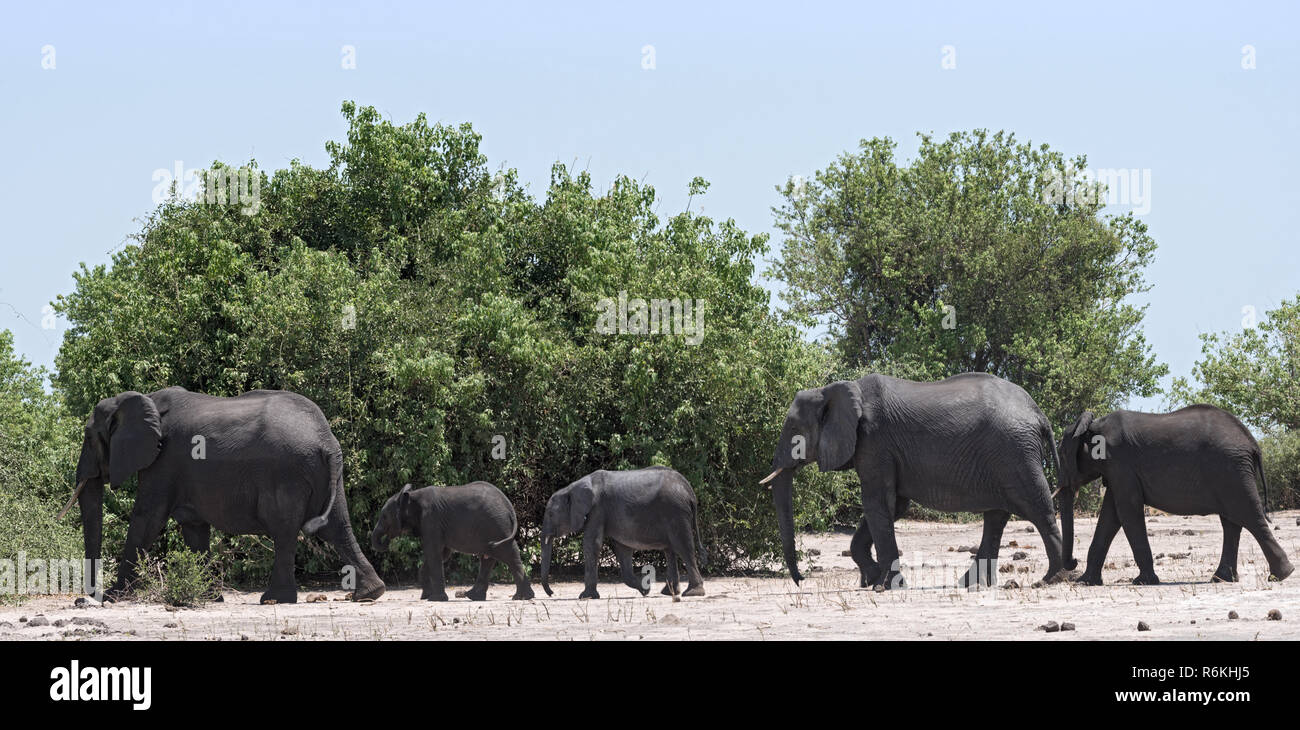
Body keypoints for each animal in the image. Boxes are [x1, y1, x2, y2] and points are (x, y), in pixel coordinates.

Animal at [58, 387, 382, 602]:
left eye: (88, 437)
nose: (83, 599)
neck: (140, 399)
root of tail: (324, 438)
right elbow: (193, 528)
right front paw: (209, 597)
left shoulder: (164, 460)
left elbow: (147, 519)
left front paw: (113, 597)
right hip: (324, 472)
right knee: (336, 526)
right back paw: (369, 594)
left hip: (286, 472)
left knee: (285, 529)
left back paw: (274, 599)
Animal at [366, 480, 533, 600]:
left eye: (384, 517)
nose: (387, 541)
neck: (411, 496)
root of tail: (508, 505)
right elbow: (442, 554)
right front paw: (425, 596)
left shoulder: (431, 519)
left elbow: (433, 553)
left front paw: (435, 599)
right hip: (494, 526)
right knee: (490, 557)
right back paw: (474, 596)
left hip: (496, 525)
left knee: (506, 553)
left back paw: (520, 597)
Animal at [538, 465, 707, 597]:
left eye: (551, 514)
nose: (552, 593)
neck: (571, 489)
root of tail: (688, 489)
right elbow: (622, 549)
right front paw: (645, 590)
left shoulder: (597, 509)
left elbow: (592, 544)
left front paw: (586, 597)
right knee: (670, 549)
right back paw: (669, 592)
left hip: (676, 511)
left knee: (683, 546)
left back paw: (693, 593)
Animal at [759, 371, 1066, 587]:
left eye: (794, 429)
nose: (801, 581)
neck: (833, 390)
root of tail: (1039, 414)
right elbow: (892, 506)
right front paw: (873, 580)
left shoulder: (874, 441)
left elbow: (877, 504)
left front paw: (885, 586)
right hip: (1006, 457)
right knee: (996, 517)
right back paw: (971, 585)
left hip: (1016, 453)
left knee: (1037, 508)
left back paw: (1051, 577)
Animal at [1060, 405, 1294, 581]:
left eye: (1061, 453)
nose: (1073, 562)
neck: (1093, 425)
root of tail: (1253, 443)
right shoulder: (1117, 471)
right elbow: (1111, 515)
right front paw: (1086, 582)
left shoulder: (1120, 464)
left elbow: (1127, 510)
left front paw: (1143, 582)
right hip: (1232, 471)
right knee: (1232, 522)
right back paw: (1222, 578)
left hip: (1231, 470)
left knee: (1249, 515)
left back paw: (1281, 575)